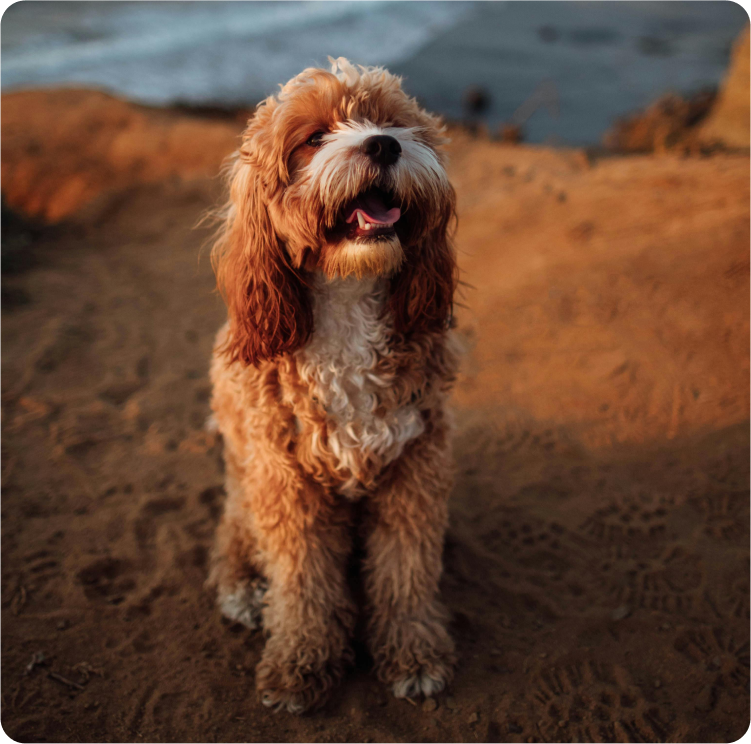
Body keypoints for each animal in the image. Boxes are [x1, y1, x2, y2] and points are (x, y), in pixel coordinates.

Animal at [209, 55, 462, 712]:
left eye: (391, 122)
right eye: (314, 138)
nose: (383, 145)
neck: (348, 299)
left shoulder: (415, 467)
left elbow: (405, 569)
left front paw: (413, 651)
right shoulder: (285, 480)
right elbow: (302, 581)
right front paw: (300, 662)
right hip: (246, 483)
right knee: (233, 536)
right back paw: (244, 589)